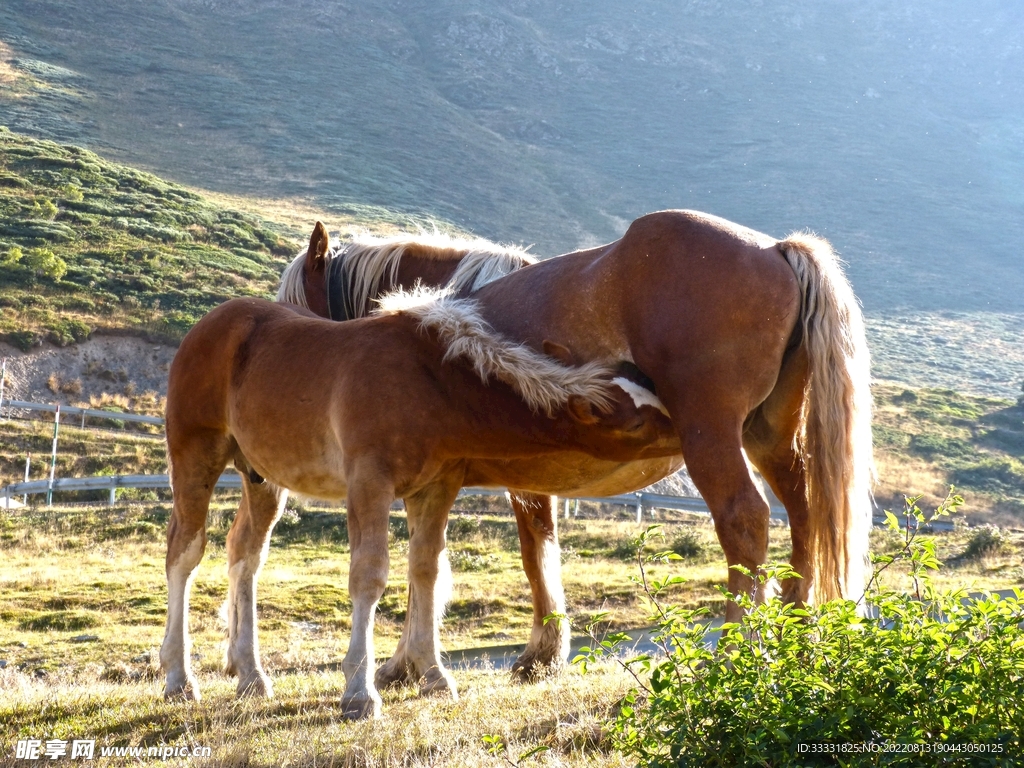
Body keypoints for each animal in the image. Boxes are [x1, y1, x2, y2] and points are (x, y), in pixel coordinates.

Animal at [161, 294, 681, 718]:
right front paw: (359, 693)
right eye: (637, 423)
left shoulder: (436, 487)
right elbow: (369, 576)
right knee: (185, 552)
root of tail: (208, 325)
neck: (428, 384)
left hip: (262, 476)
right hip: (195, 454)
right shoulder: (369, 484)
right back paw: (178, 679)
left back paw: (250, 676)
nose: (683, 432)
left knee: (245, 554)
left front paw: (433, 676)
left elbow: (426, 571)